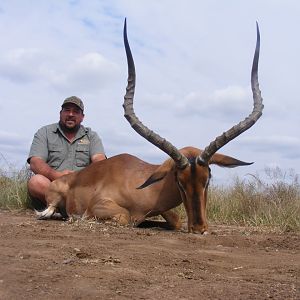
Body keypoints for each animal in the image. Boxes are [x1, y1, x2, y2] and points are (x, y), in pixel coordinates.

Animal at [37, 19, 262, 234]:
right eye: (179, 181)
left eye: (207, 179)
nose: (199, 228)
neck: (139, 184)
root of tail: (70, 177)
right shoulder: (99, 206)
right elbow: (124, 217)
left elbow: (175, 220)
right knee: (48, 211)